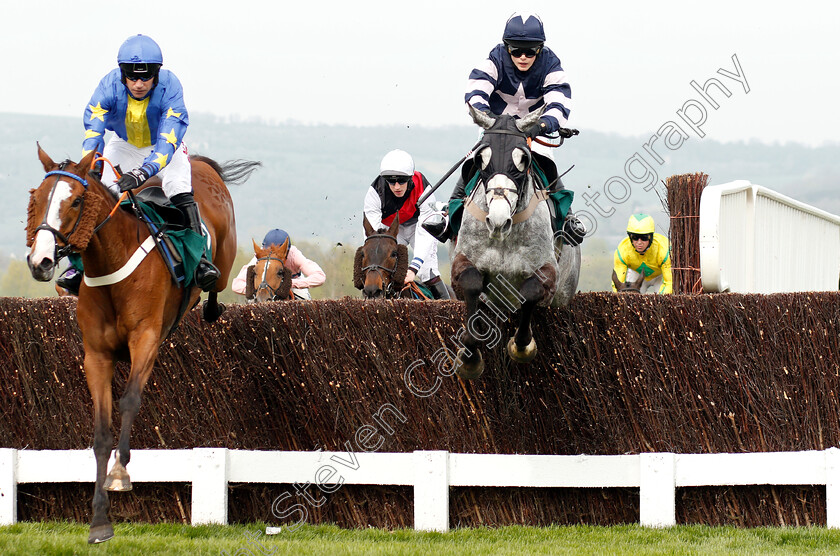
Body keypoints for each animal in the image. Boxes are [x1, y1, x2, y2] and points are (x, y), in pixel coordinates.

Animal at [26, 144, 258, 544]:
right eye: (38, 199)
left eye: (76, 202)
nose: (39, 261)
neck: (111, 264)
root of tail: (200, 164)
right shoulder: (96, 356)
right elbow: (101, 431)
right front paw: (99, 521)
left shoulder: (146, 341)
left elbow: (130, 400)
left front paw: (120, 475)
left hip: (224, 257)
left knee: (216, 284)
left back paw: (210, 293)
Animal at [450, 106, 580, 380]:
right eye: (481, 159)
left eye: (524, 159)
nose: (498, 220)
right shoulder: (462, 261)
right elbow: (471, 283)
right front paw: (469, 356)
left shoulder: (548, 269)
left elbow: (531, 291)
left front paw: (521, 346)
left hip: (564, 294)